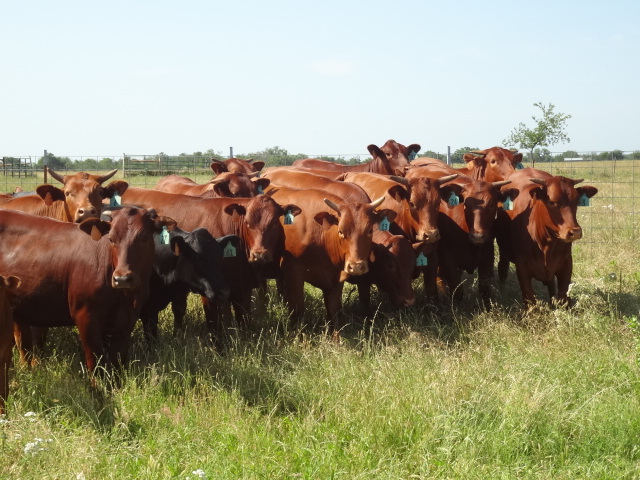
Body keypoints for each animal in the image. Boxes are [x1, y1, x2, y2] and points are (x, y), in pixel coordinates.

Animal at [0, 207, 174, 376]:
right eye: (111, 239)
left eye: (144, 237)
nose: (122, 278)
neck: (125, 298)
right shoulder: (86, 318)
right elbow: (96, 364)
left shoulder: (125, 322)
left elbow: (117, 365)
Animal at [266, 185, 396, 338]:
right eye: (340, 231)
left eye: (370, 230)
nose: (356, 267)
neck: (321, 237)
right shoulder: (293, 271)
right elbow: (298, 309)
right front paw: (298, 336)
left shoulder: (336, 278)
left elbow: (334, 311)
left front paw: (336, 338)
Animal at [496, 167, 600, 306]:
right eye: (551, 201)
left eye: (577, 201)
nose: (575, 232)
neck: (545, 242)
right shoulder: (522, 267)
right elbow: (530, 300)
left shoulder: (566, 263)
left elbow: (562, 296)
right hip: (503, 252)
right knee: (502, 269)